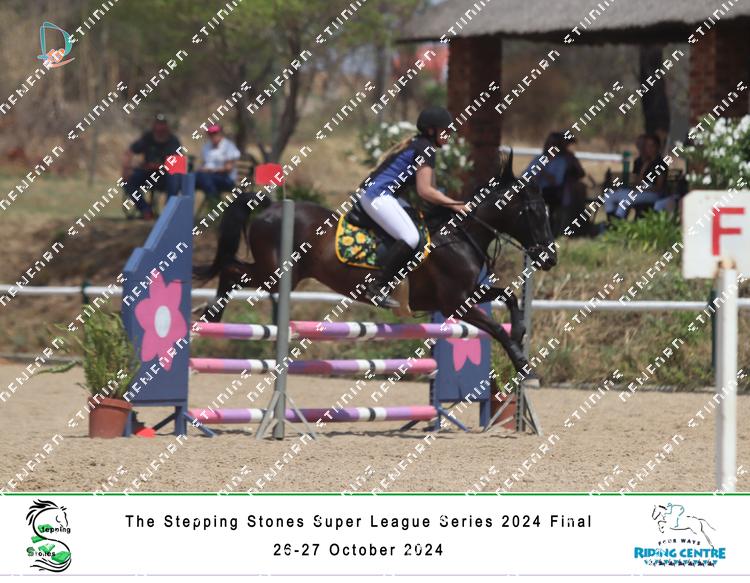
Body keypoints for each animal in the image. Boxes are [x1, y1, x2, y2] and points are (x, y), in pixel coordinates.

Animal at [194, 153, 557, 382]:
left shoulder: (469, 293)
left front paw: (521, 332)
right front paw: (525, 368)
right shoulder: (455, 303)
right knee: (230, 270)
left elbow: (509, 295)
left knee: (231, 270)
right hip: (277, 274)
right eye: (533, 212)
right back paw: (210, 315)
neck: (460, 236)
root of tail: (269, 207)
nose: (550, 258)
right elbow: (496, 328)